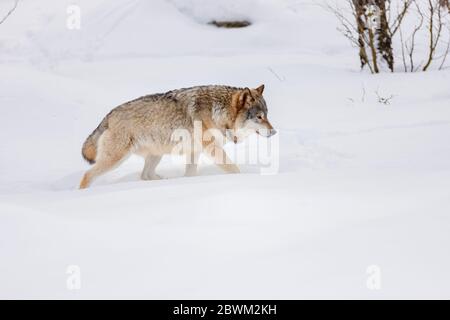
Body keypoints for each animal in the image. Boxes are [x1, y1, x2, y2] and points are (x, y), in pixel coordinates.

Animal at [78, 85, 274, 189]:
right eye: (259, 117)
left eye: (267, 115)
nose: (274, 132)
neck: (219, 112)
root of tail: (109, 116)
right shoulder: (212, 149)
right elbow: (234, 169)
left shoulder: (194, 152)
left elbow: (190, 174)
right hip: (116, 159)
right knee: (87, 175)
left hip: (155, 155)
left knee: (145, 175)